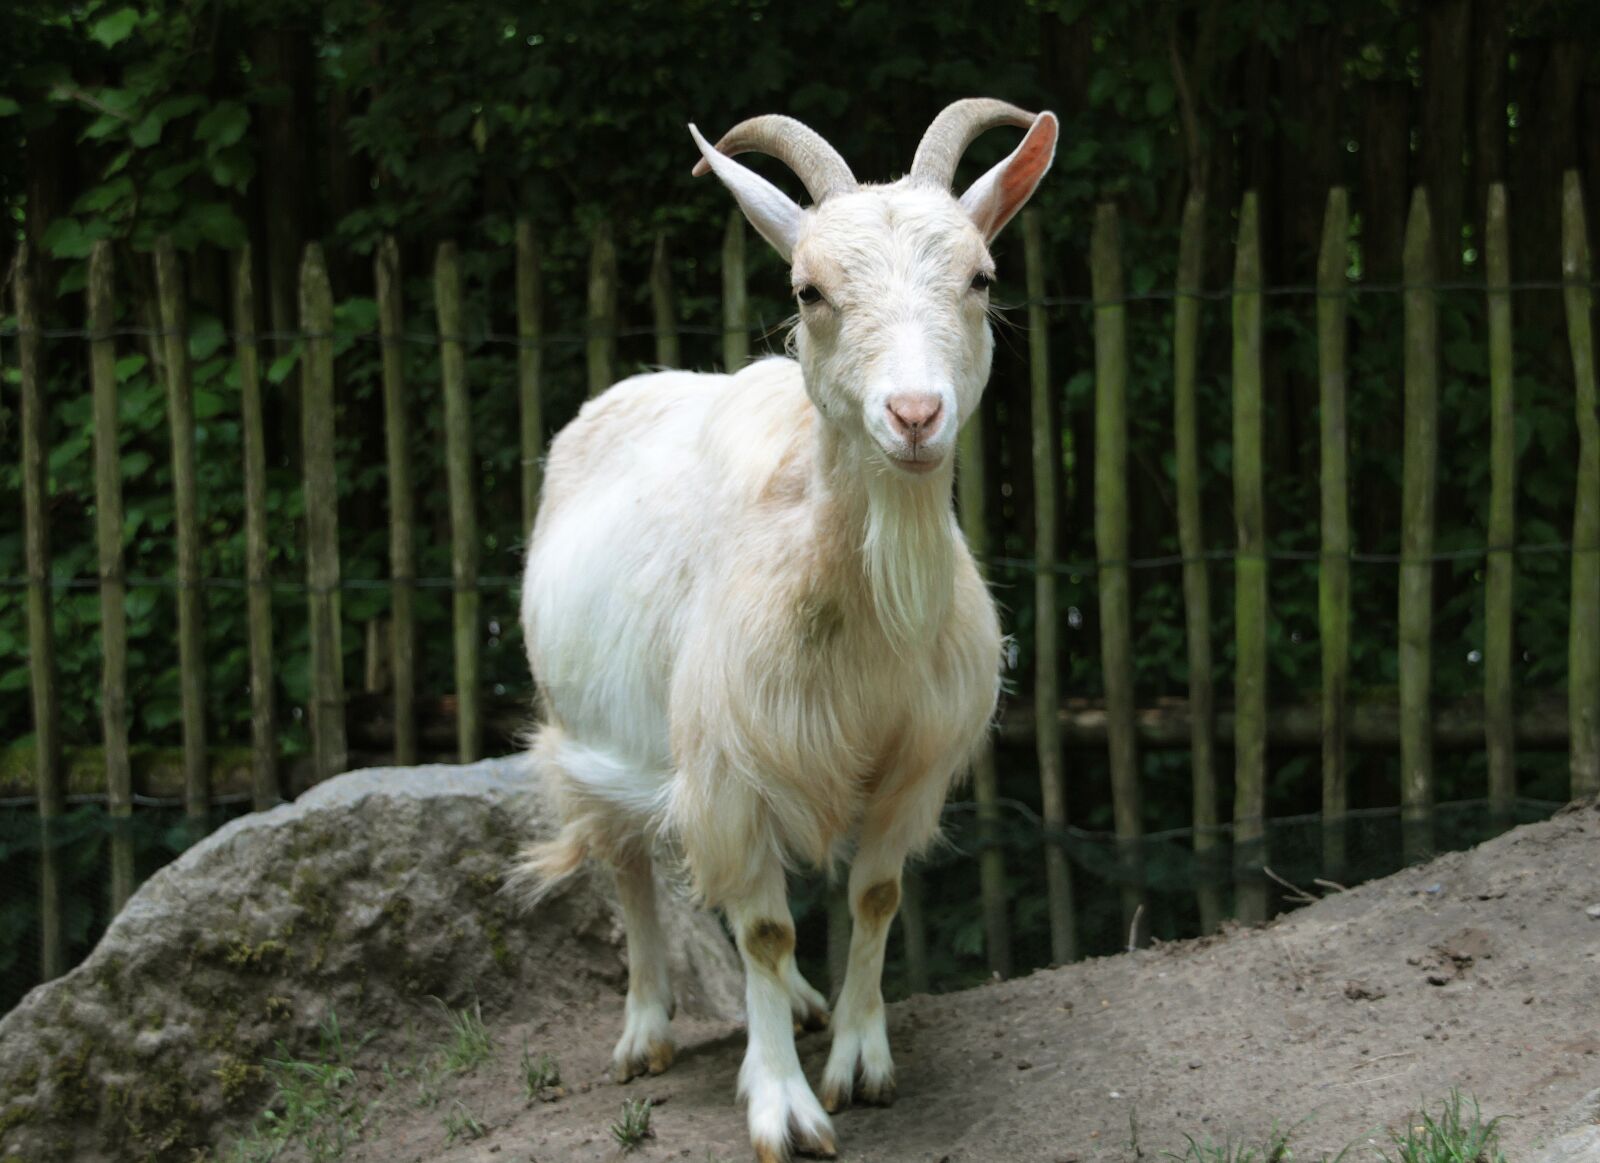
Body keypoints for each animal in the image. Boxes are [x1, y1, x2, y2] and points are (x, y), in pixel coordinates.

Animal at [519, 98, 1057, 1162]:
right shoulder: (733, 757)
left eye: (981, 276)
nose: (915, 413)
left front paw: (858, 1058)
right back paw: (645, 1032)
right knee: (631, 869)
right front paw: (783, 1108)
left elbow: (871, 898)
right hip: (586, 735)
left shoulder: (906, 760)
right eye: (809, 290)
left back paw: (803, 1005)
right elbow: (763, 927)